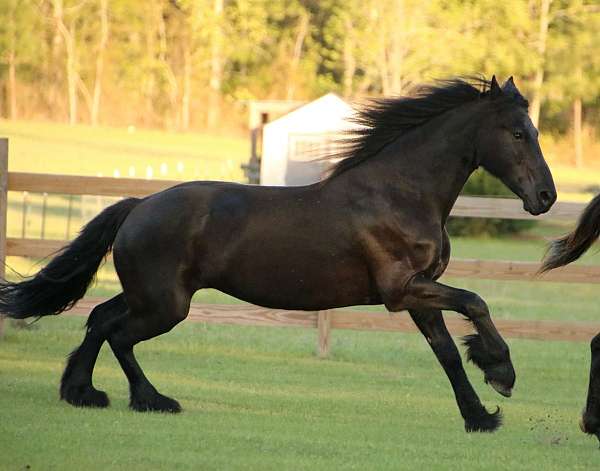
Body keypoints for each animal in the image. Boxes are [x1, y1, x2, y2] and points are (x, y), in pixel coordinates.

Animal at [0, 75, 556, 434]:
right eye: (517, 132)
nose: (546, 197)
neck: (400, 193)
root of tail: (139, 206)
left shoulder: (419, 296)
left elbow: (446, 353)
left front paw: (480, 415)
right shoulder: (402, 291)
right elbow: (476, 301)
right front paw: (501, 374)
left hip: (149, 296)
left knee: (98, 318)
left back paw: (83, 393)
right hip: (165, 305)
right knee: (118, 334)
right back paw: (152, 401)